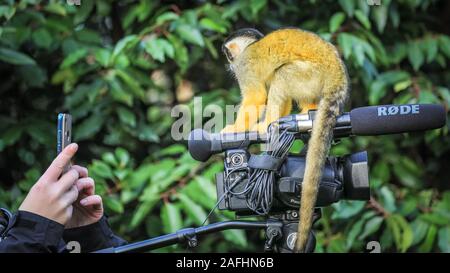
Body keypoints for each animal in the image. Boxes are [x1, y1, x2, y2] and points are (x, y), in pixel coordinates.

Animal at [221, 27, 348, 251]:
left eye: (228, 53)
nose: (228, 62)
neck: (249, 47)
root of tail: (337, 73)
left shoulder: (244, 66)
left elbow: (256, 95)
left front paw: (235, 129)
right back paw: (304, 112)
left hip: (312, 75)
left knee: (282, 74)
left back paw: (267, 123)